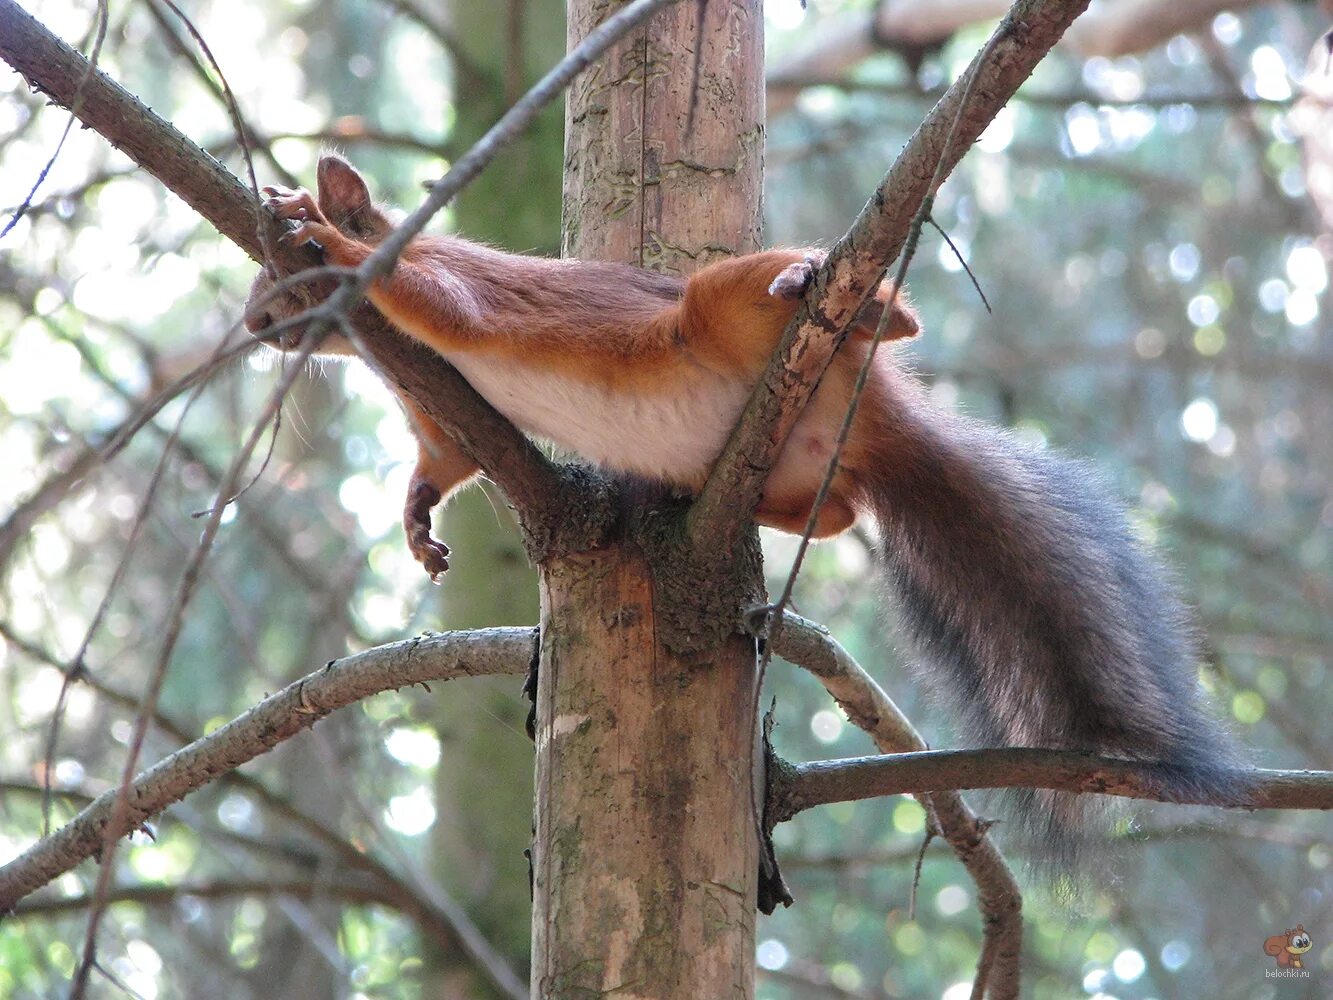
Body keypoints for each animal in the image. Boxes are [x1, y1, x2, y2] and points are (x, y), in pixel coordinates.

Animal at [245, 154, 1242, 864]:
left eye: (277, 277)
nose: (254, 329)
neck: (377, 351)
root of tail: (873, 421)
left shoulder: (457, 292)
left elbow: (426, 294)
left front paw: (335, 247)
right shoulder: (440, 413)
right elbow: (440, 462)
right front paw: (417, 524)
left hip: (723, 303)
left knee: (862, 312)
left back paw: (834, 294)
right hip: (804, 472)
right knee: (839, 511)